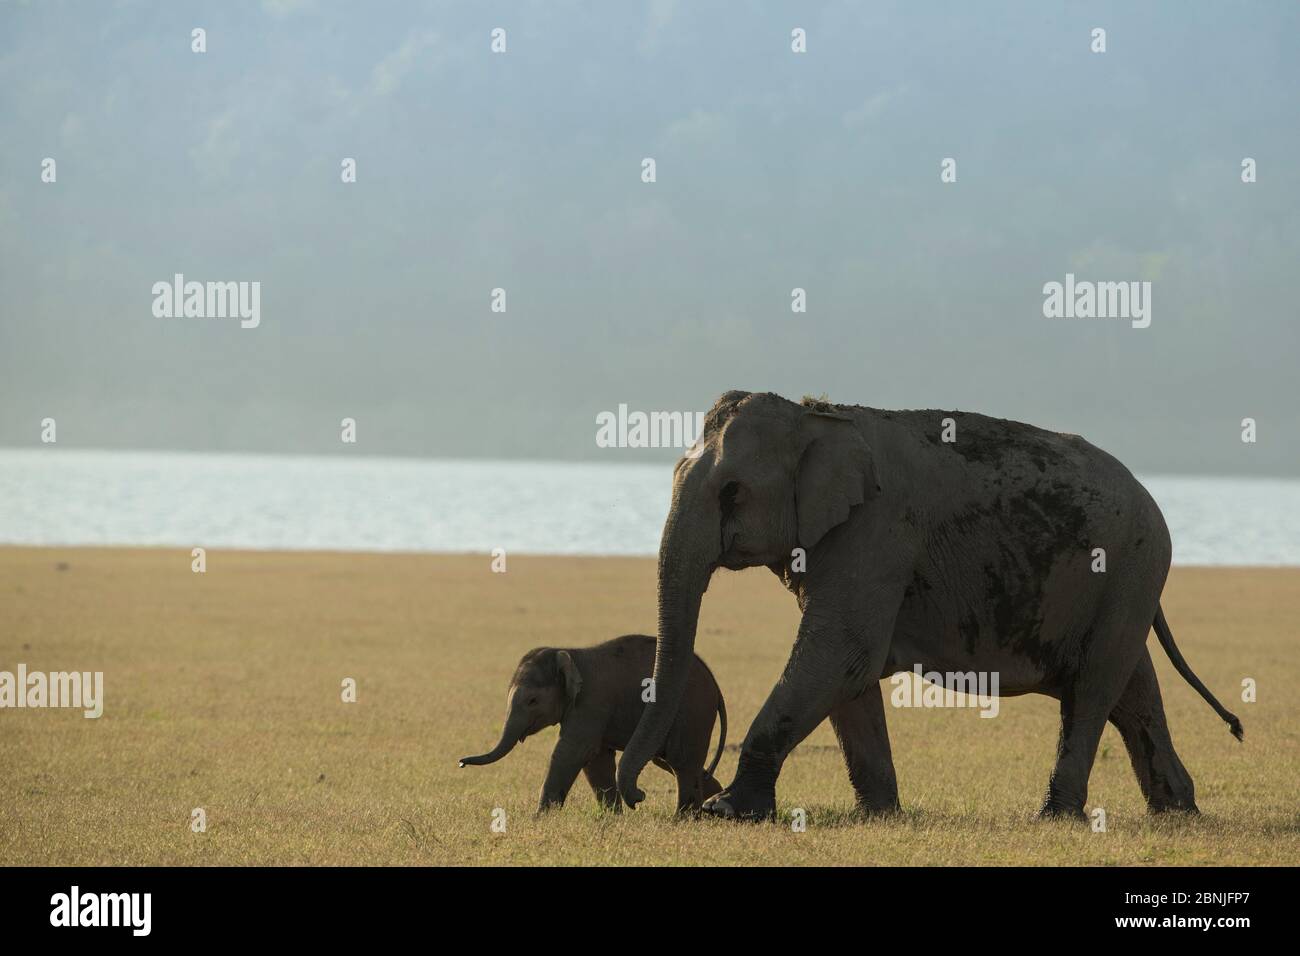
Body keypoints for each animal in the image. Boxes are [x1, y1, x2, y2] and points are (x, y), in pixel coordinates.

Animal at [460, 634, 728, 816]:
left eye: (532, 701)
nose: (461, 763)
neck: (569, 654)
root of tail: (716, 685)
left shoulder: (591, 702)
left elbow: (574, 751)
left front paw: (539, 819)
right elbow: (596, 759)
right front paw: (613, 818)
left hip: (693, 712)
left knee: (682, 762)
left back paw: (684, 819)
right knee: (675, 763)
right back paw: (709, 808)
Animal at [613, 390, 1242, 822]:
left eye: (732, 492)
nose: (639, 796)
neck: (814, 416)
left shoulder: (876, 533)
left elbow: (842, 655)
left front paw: (728, 812)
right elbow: (847, 675)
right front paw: (879, 815)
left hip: (1131, 569)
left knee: (1092, 690)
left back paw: (1055, 815)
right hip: (1120, 587)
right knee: (1132, 687)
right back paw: (1178, 810)